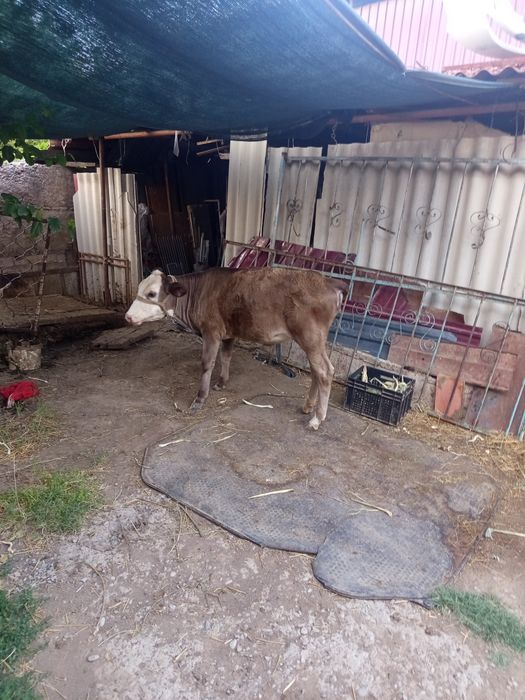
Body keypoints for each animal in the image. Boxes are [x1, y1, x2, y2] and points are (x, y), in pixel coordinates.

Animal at [125, 267, 347, 429]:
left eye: (152, 293)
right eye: (140, 289)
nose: (127, 316)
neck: (198, 293)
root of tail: (329, 282)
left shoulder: (211, 331)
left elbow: (207, 364)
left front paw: (200, 399)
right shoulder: (228, 333)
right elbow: (226, 357)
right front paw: (222, 382)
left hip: (310, 338)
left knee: (325, 372)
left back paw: (317, 418)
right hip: (314, 342)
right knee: (316, 371)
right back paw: (308, 407)